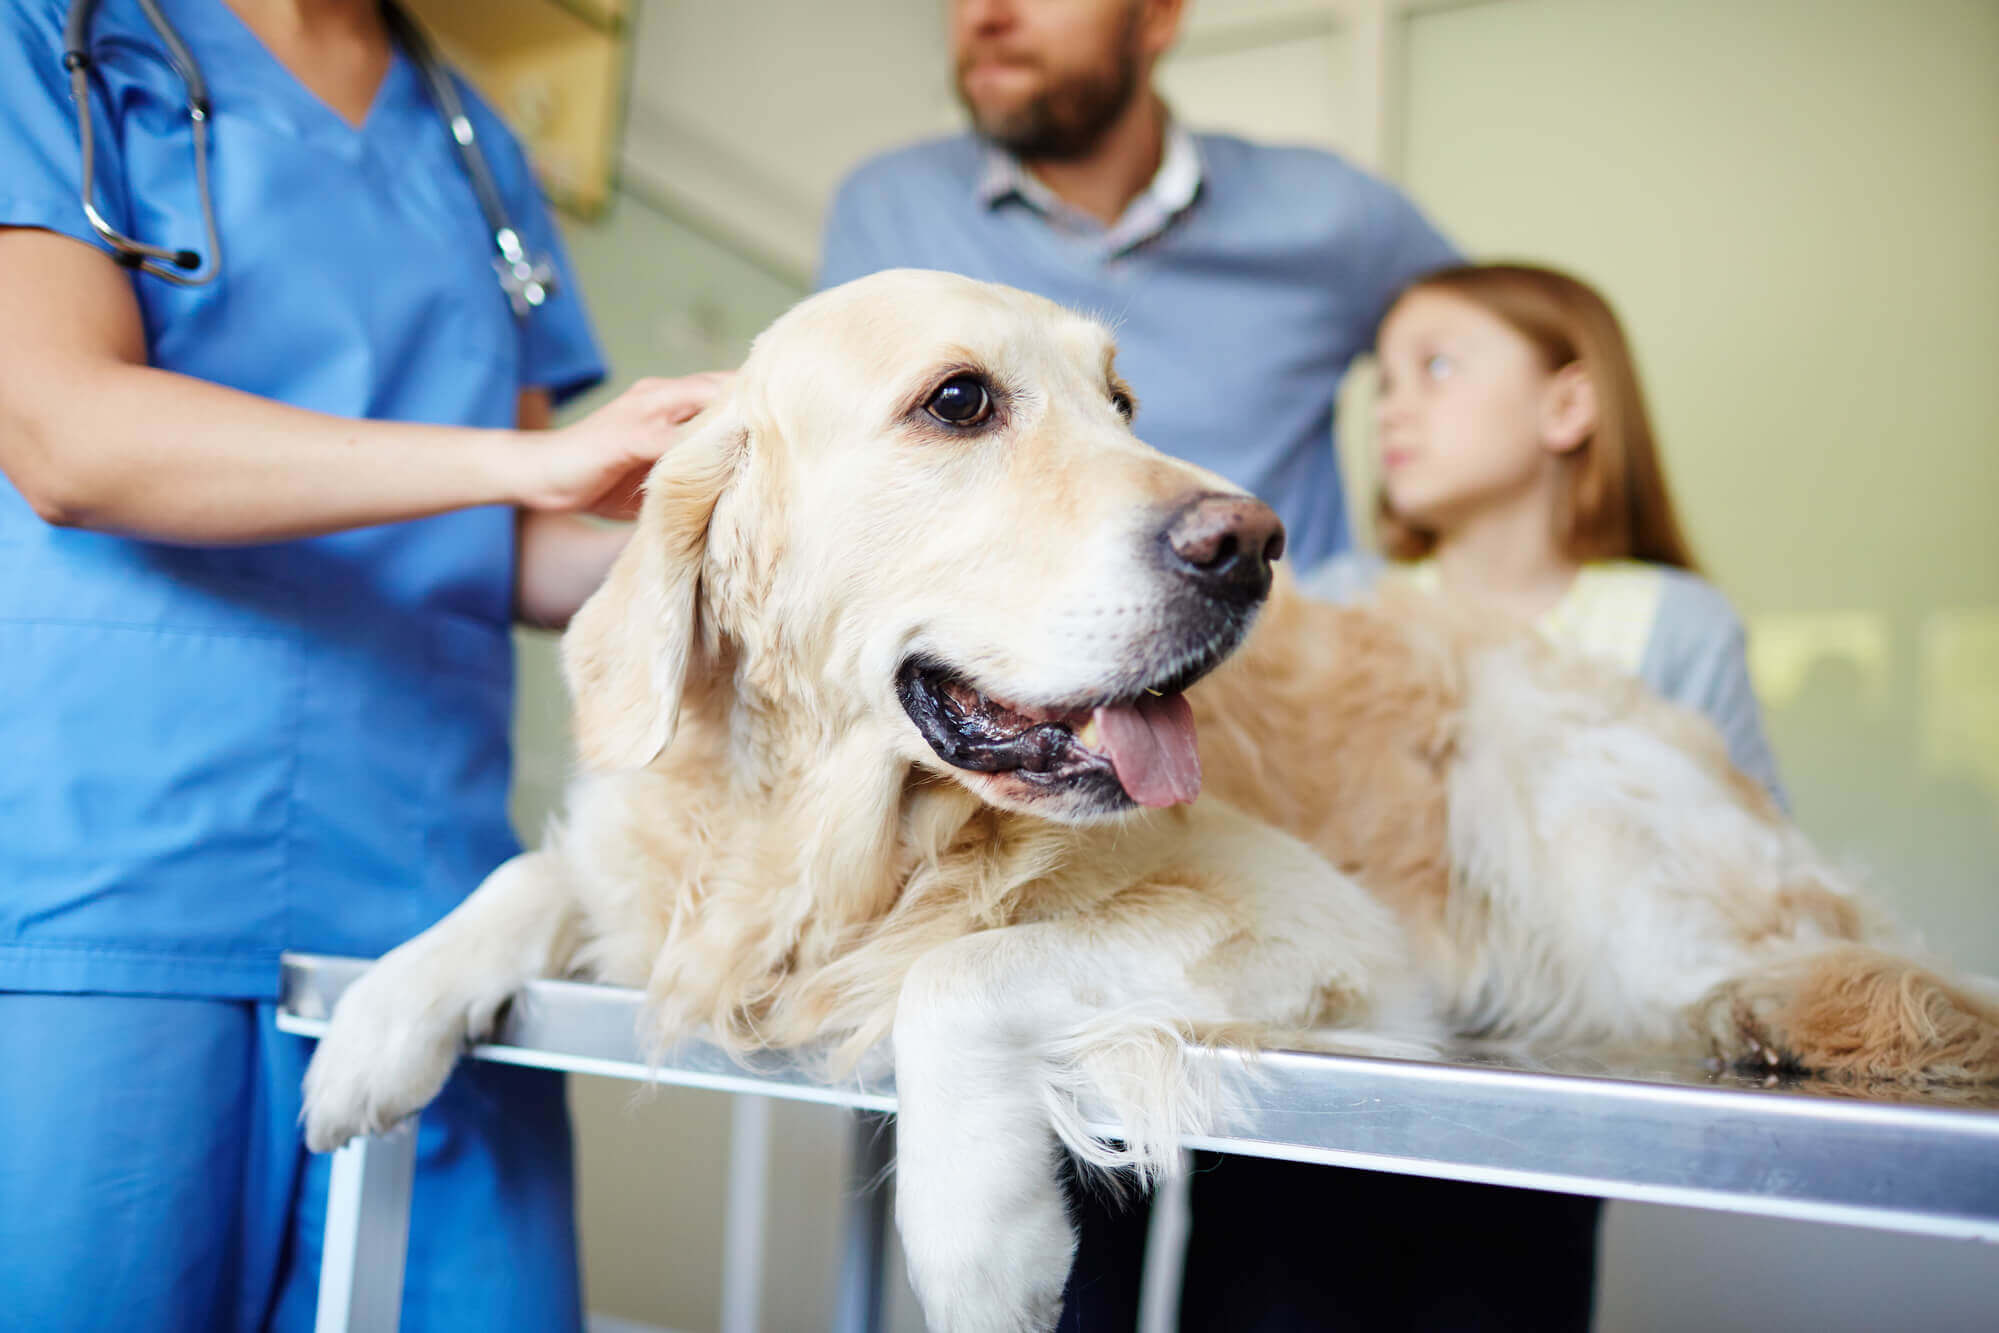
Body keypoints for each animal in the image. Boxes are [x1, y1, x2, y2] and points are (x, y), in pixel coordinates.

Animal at [299, 267, 1999, 1333]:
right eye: (959, 401)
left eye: (1122, 400)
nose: (1245, 544)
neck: (853, 838)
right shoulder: (668, 875)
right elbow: (527, 879)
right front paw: (377, 1020)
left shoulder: (1319, 927)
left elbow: (962, 975)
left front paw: (977, 1242)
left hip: (1549, 773)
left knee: (1790, 955)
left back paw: (1772, 1010)